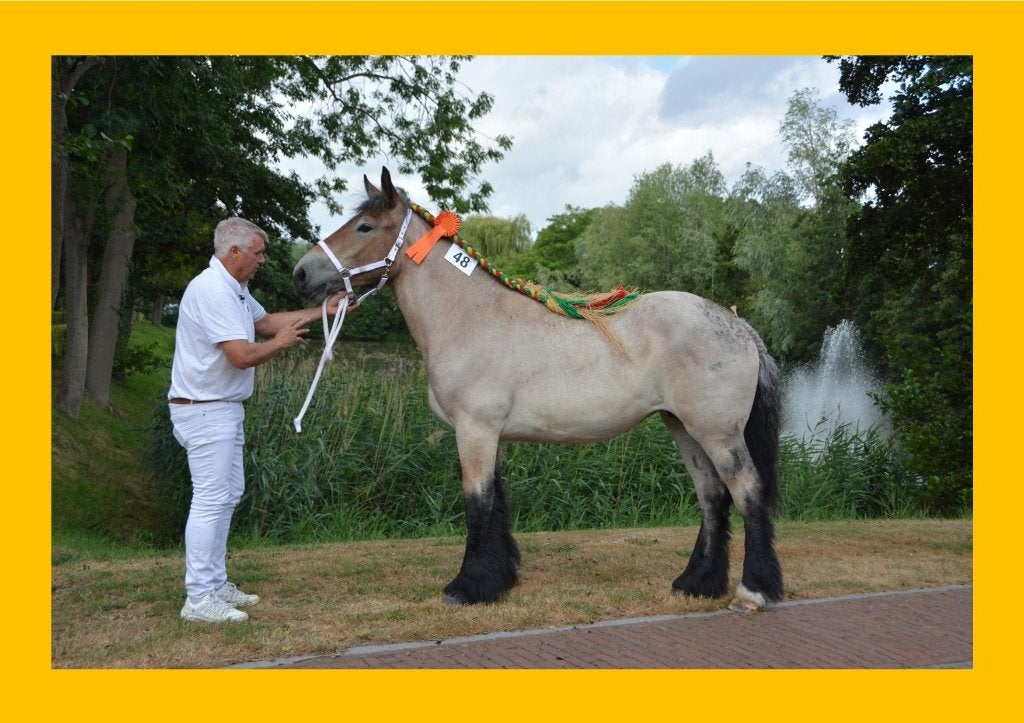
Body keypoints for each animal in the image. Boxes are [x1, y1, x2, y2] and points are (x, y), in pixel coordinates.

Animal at [293, 168, 783, 613]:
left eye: (365, 226)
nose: (300, 273)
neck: (468, 317)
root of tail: (739, 326)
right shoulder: (489, 434)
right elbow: (496, 503)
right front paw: (497, 579)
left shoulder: (474, 430)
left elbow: (477, 505)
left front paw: (465, 588)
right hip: (683, 427)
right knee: (712, 498)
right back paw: (696, 583)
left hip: (717, 433)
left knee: (747, 493)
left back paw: (752, 592)